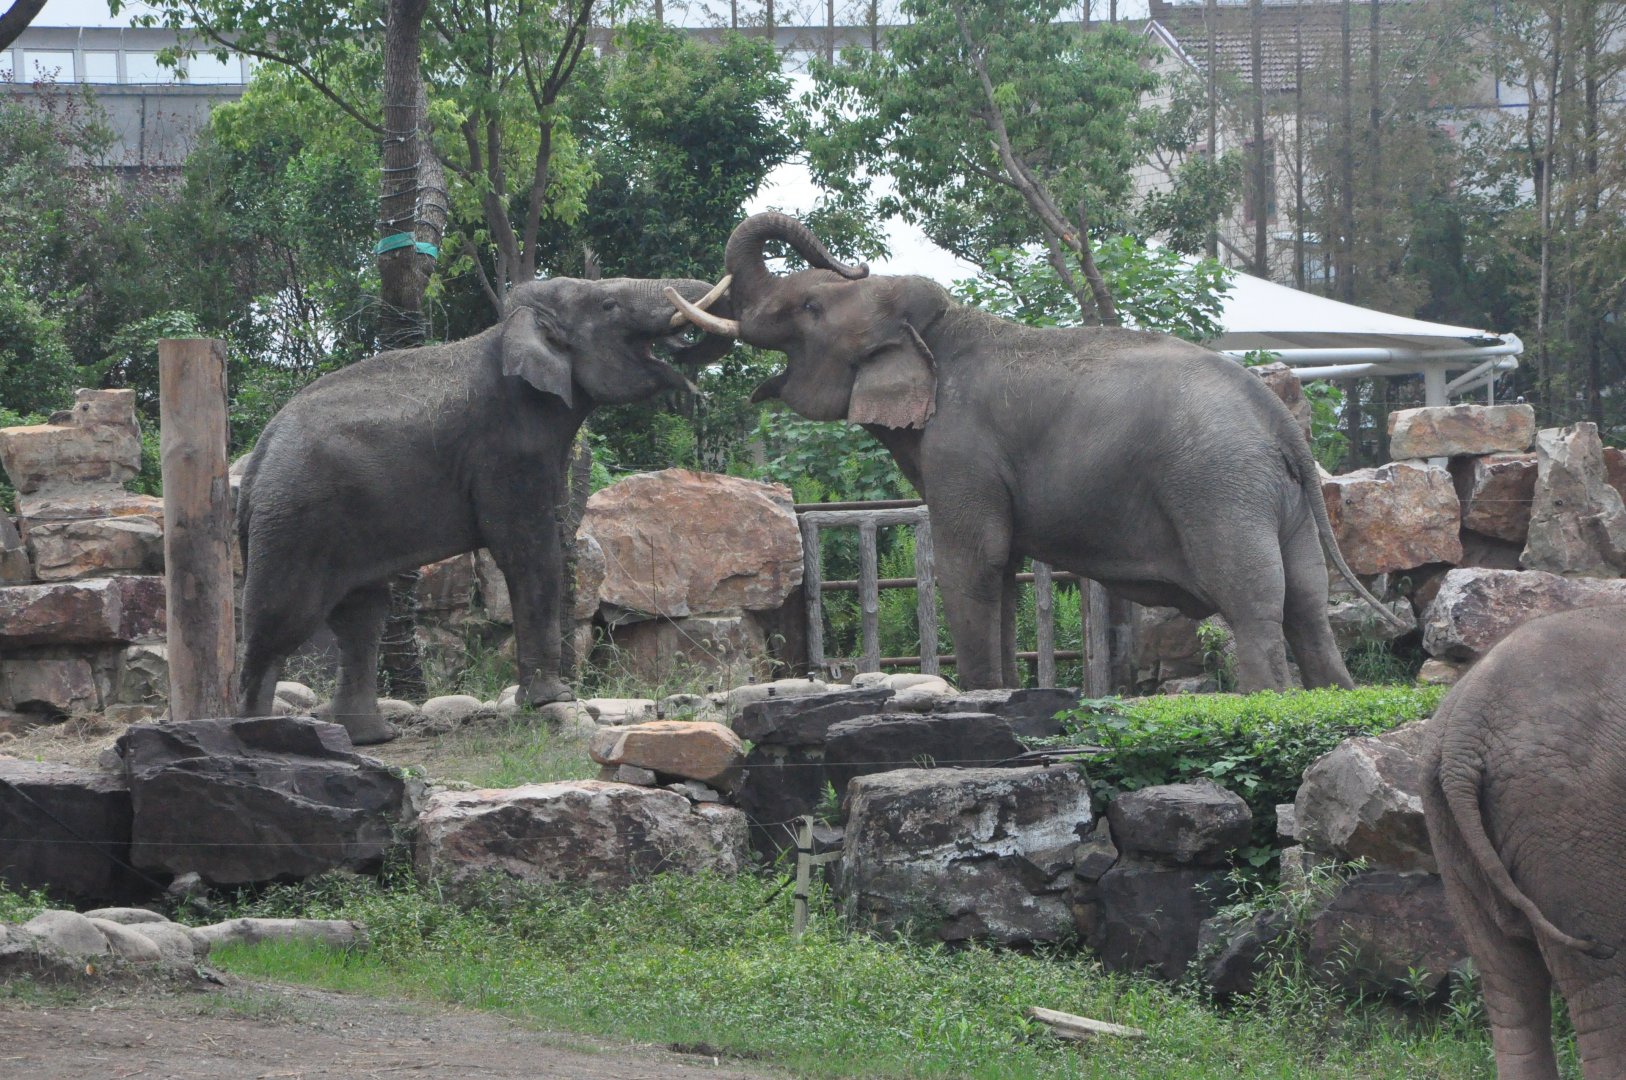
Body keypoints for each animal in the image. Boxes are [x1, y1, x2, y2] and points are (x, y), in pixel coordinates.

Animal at [237, 275, 731, 744]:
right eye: (609, 306)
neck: (510, 328)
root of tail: (259, 453)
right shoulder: (505, 446)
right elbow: (529, 550)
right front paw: (552, 699)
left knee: (362, 616)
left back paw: (372, 737)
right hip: (295, 520)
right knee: (282, 620)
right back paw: (258, 732)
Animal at [667, 212, 1401, 692]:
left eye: (811, 308)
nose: (857, 259)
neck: (943, 327)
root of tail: (1279, 420)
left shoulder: (961, 448)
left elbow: (971, 562)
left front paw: (979, 699)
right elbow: (1003, 571)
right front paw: (1006, 697)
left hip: (1220, 488)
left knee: (1254, 602)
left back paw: (1266, 702)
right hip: (1283, 499)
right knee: (1308, 603)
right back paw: (1333, 697)